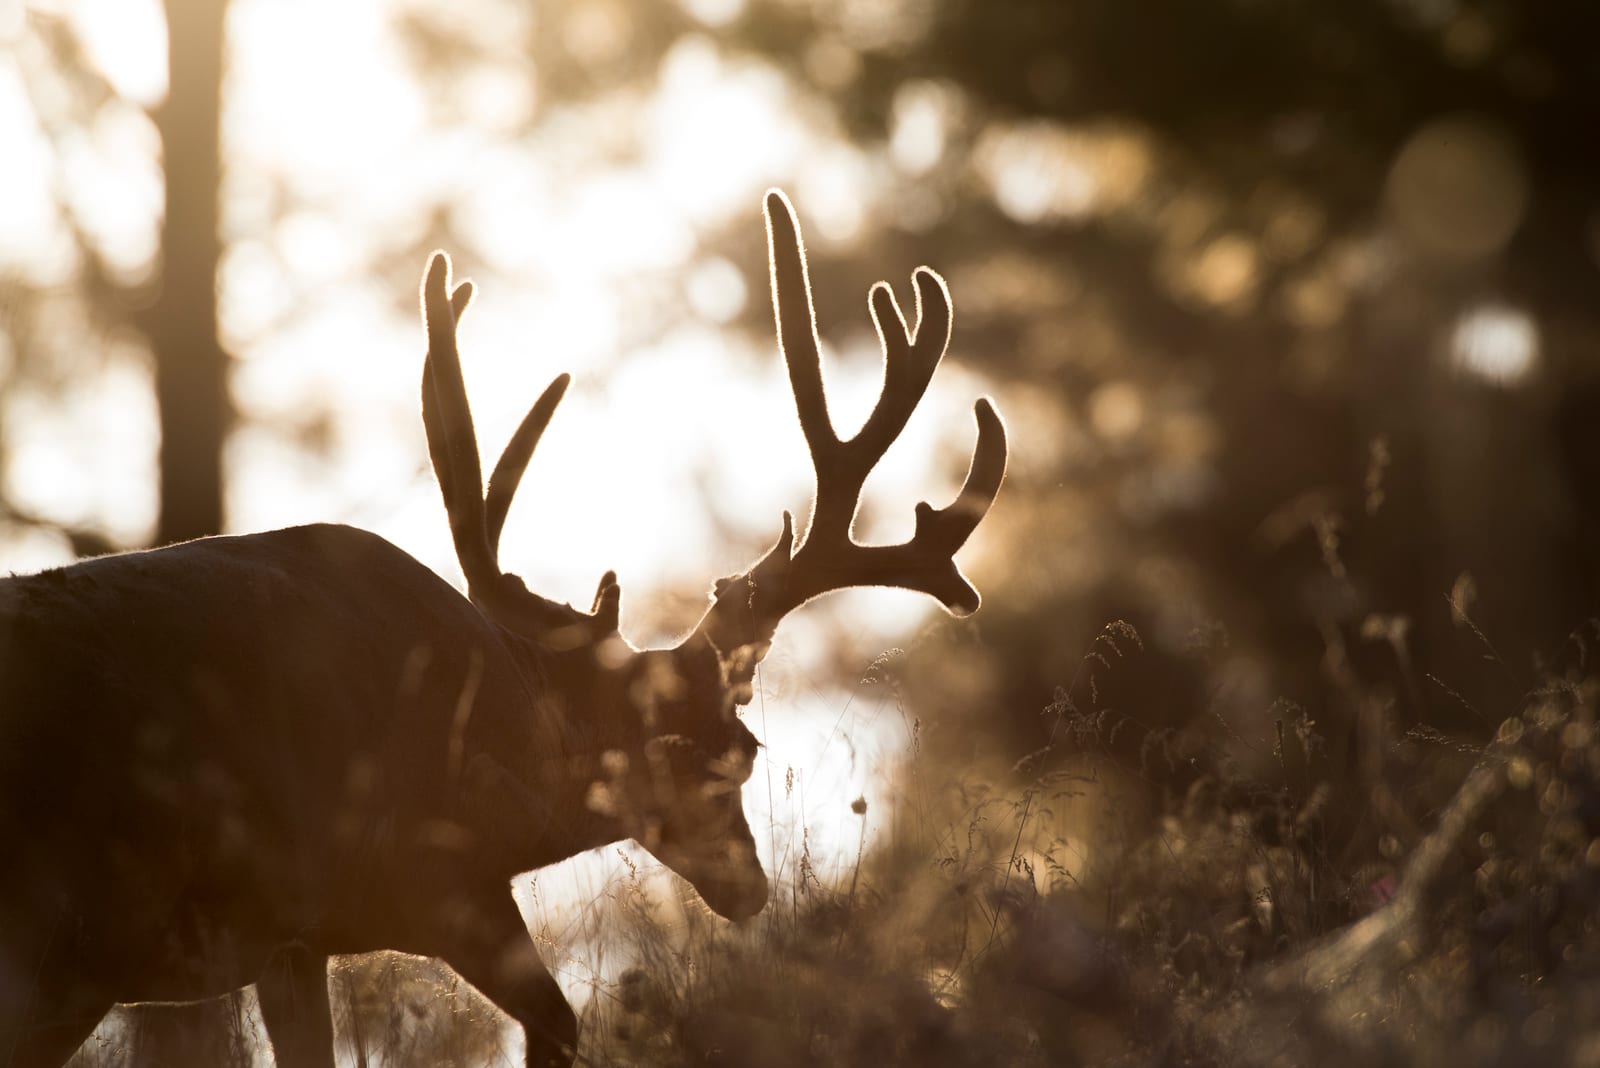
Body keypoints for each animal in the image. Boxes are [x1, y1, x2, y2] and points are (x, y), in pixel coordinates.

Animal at [0, 190, 1006, 1067]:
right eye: (726, 750)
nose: (748, 886)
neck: (513, 737)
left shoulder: (297, 941)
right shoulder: (439, 876)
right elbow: (557, 1023)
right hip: (64, 936)